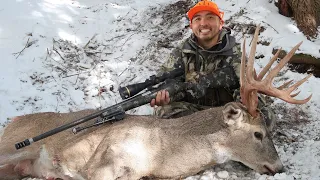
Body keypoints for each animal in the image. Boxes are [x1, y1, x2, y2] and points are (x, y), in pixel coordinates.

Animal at [0, 25, 312, 180]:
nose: (279, 167)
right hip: (13, 148)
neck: (160, 152)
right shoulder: (100, 163)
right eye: (258, 133)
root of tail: (11, 124)